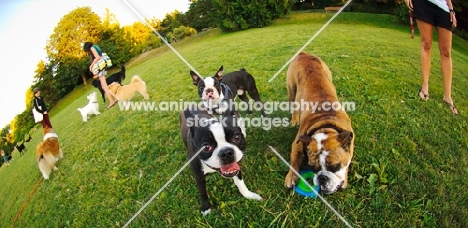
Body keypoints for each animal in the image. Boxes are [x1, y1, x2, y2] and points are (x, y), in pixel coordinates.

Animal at [282, 52, 354, 194]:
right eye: (313, 168)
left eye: (335, 167)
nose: (322, 178)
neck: (325, 125)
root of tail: (303, 53)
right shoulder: (296, 145)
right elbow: (294, 162)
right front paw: (290, 177)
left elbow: (347, 162)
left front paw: (345, 179)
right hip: (292, 90)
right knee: (294, 105)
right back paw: (294, 119)